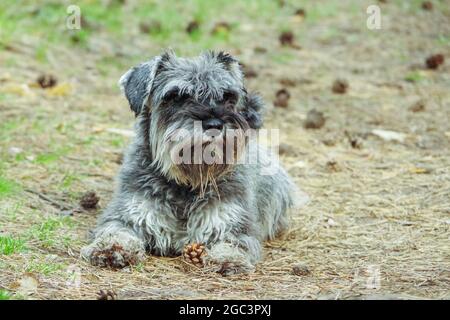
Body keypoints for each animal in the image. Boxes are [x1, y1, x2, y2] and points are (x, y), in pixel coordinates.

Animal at [81, 50, 298, 276]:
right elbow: (116, 230)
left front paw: (229, 258)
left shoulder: (233, 224)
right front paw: (111, 248)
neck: (186, 183)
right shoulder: (129, 215)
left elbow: (233, 242)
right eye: (176, 96)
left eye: (227, 96)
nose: (214, 124)